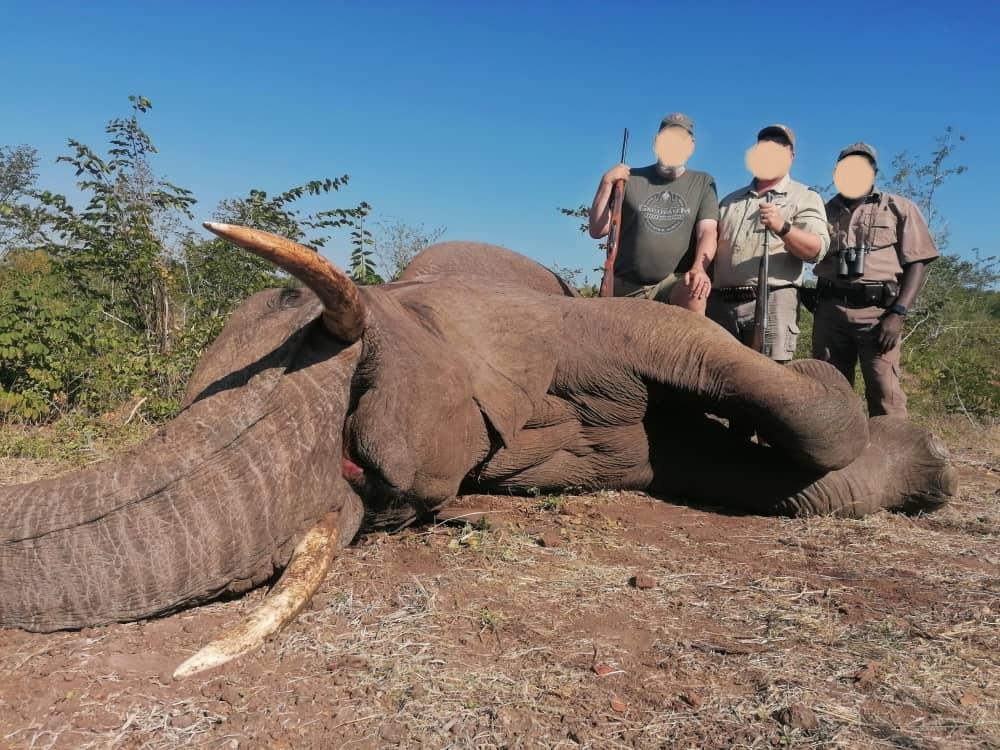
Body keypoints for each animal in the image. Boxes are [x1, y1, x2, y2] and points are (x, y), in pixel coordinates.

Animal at [0, 223, 957, 677]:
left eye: (358, 391)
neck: (414, 308)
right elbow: (732, 474)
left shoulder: (572, 328)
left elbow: (763, 393)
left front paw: (922, 463)